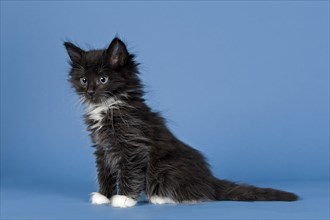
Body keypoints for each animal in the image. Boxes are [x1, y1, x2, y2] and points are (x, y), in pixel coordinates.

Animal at [65, 37, 300, 207]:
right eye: (83, 80)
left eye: (103, 79)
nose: (90, 91)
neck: (108, 107)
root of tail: (210, 179)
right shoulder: (102, 149)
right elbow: (104, 173)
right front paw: (104, 196)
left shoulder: (134, 146)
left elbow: (130, 173)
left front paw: (124, 199)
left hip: (167, 167)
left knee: (201, 194)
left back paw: (161, 197)